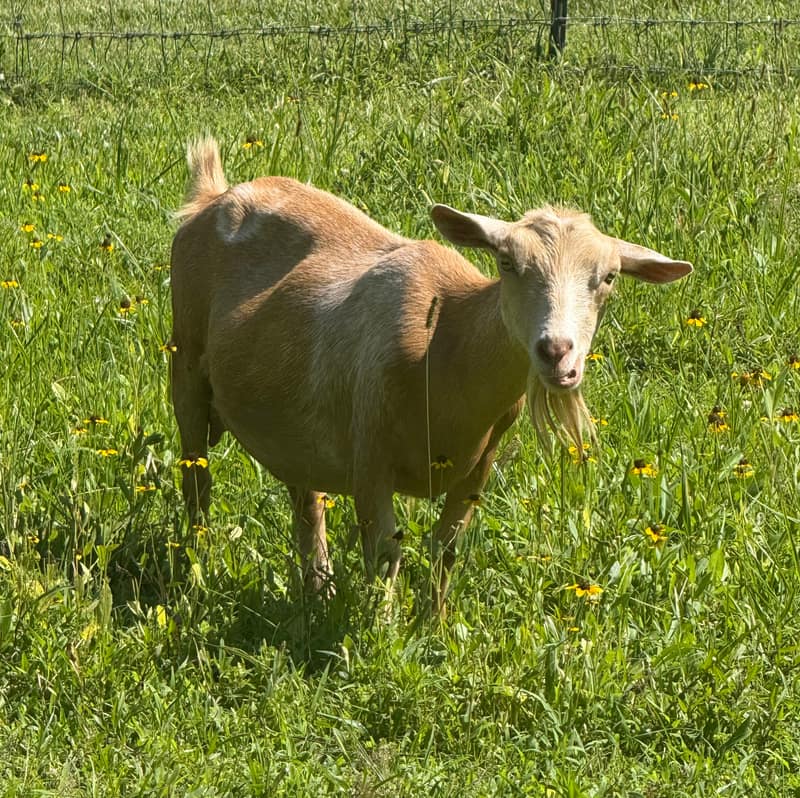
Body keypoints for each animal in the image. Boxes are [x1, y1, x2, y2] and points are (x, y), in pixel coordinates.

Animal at [170, 136, 692, 615]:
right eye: (507, 263)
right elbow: (386, 552)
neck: (446, 341)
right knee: (196, 479)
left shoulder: (480, 464)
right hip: (186, 362)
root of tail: (213, 196)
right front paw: (381, 632)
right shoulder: (369, 455)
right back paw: (196, 576)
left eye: (608, 278)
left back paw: (318, 590)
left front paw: (433, 625)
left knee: (306, 498)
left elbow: (447, 547)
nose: (556, 353)